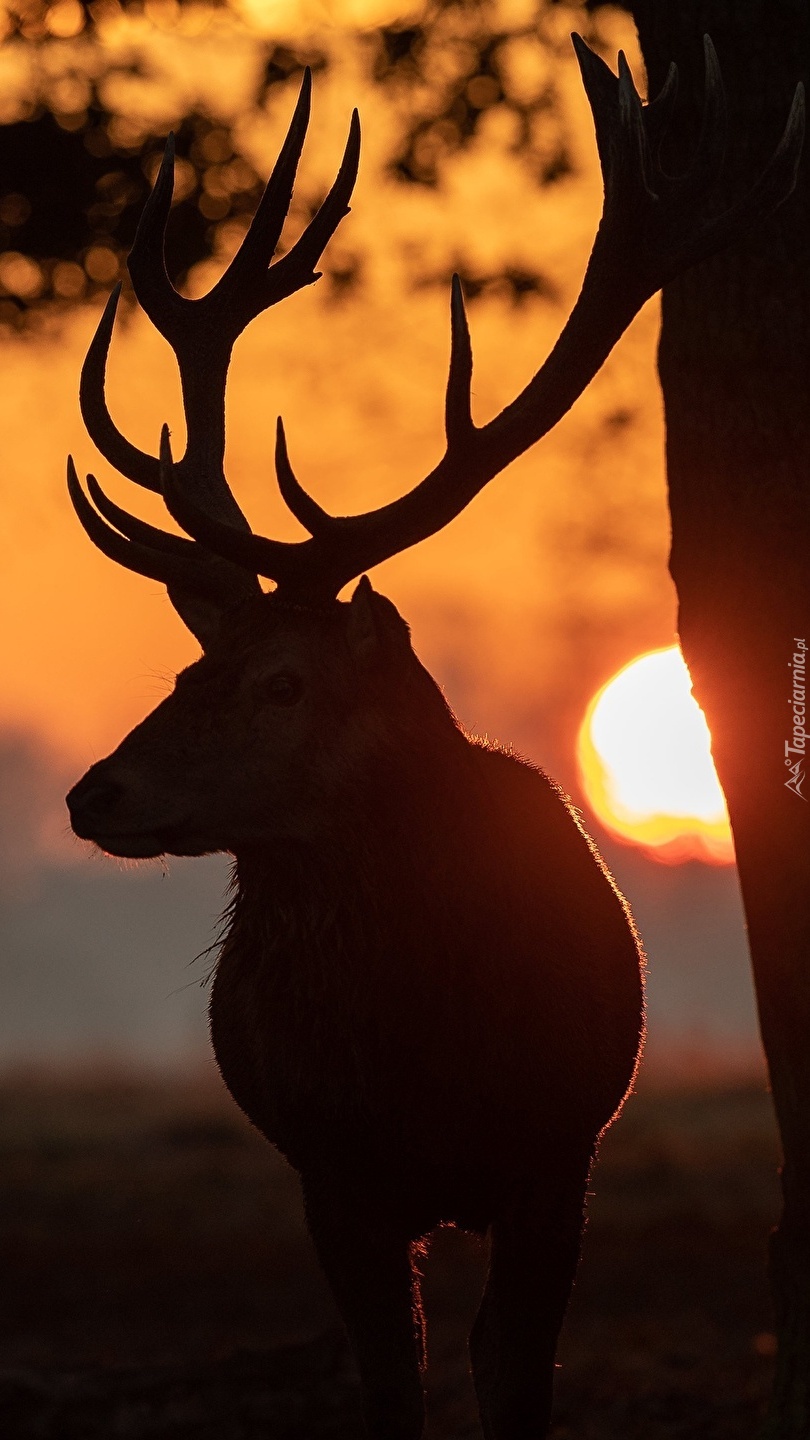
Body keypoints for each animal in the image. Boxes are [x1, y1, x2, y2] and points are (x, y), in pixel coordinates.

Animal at [64, 39, 801, 1440]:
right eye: (191, 665)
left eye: (284, 682)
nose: (95, 794)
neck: (432, 1069)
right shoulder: (333, 1176)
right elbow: (391, 1389)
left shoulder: (558, 1159)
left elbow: (519, 1384)